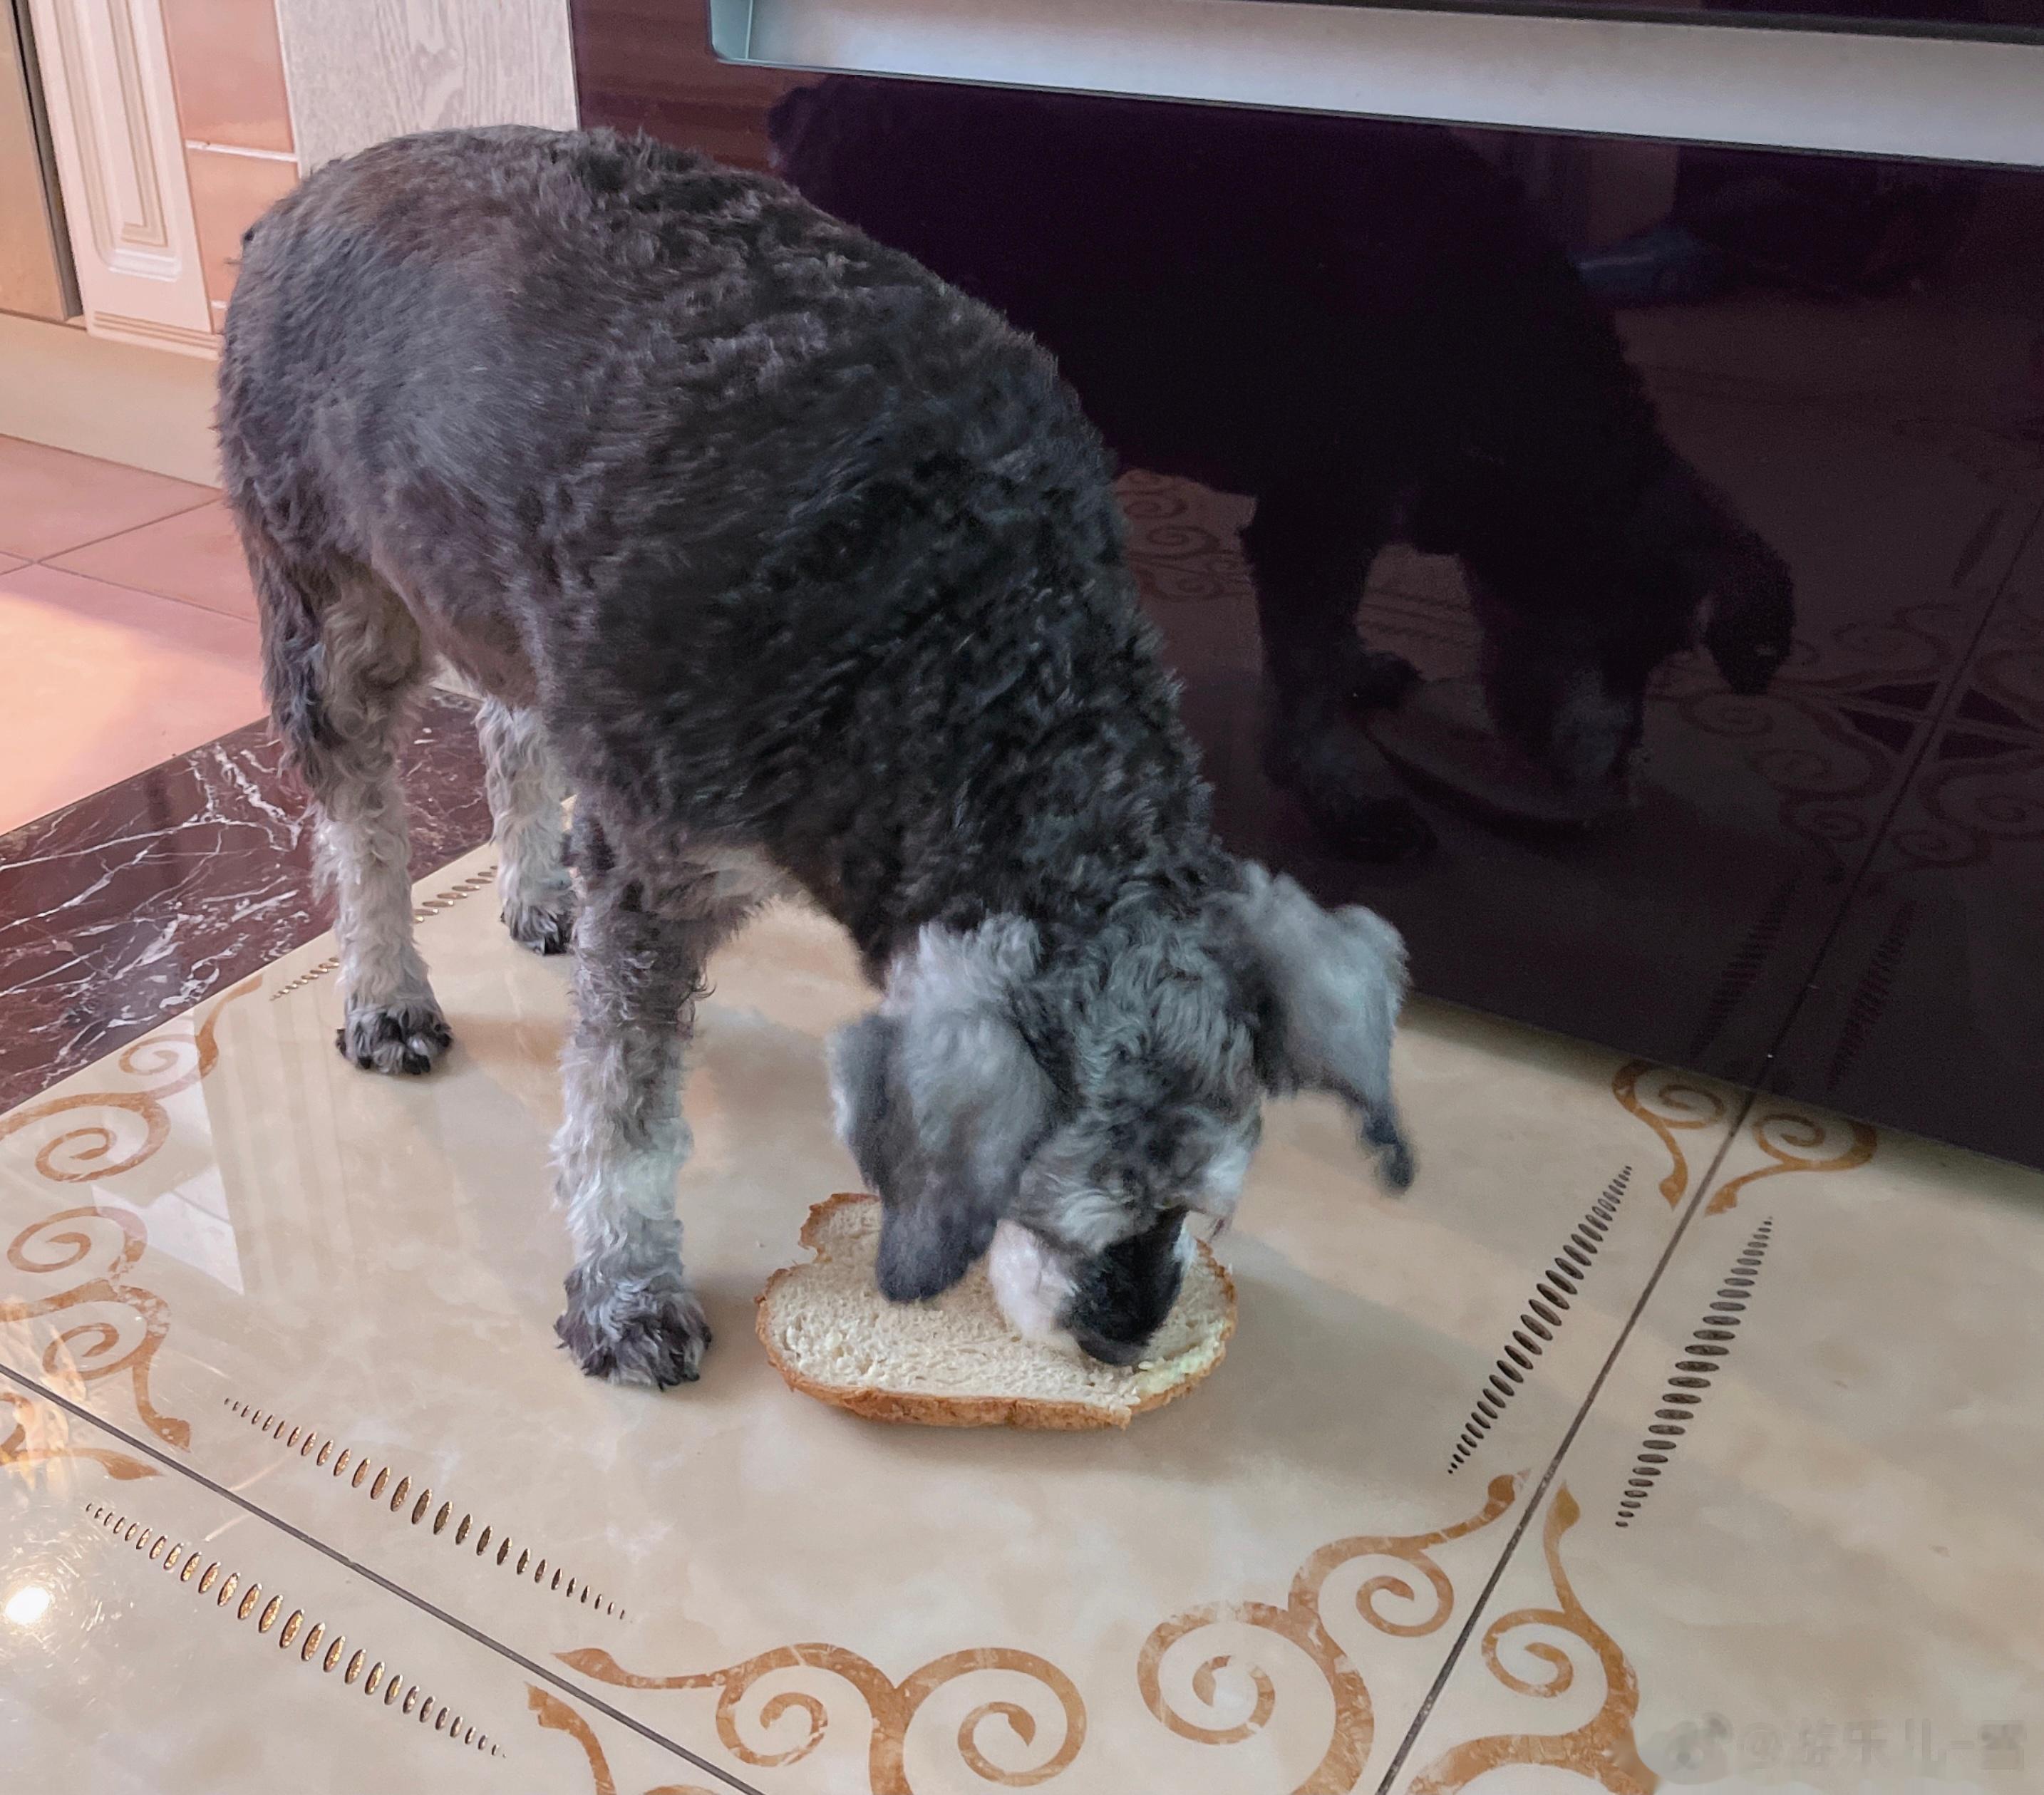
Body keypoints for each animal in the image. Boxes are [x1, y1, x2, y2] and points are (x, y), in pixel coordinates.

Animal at [217, 126, 1414, 1387]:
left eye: (1203, 1193)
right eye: (1028, 1177)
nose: (1124, 1334)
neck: (951, 630)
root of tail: (302, 196)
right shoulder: (653, 871)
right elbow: (622, 1118)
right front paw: (625, 1290)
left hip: (494, 593)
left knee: (508, 727)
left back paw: (536, 889)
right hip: (337, 617)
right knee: (361, 825)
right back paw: (386, 992)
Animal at [768, 80, 1797, 858]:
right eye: (1630, 641)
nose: (1611, 777)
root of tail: (809, 109)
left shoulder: (1345, 517)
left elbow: (1326, 637)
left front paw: (1361, 668)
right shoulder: (1320, 514)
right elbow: (1300, 679)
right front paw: (1347, 798)